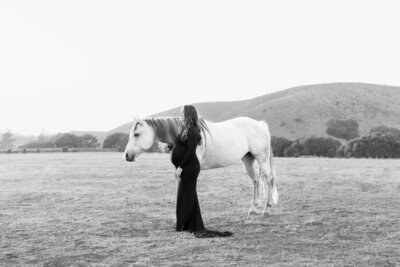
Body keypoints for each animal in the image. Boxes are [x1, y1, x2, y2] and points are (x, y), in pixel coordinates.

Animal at [124, 117, 278, 216]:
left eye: (136, 134)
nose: (126, 155)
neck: (185, 136)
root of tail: (261, 125)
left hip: (262, 158)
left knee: (269, 179)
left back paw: (267, 209)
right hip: (248, 160)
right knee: (256, 181)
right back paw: (253, 209)